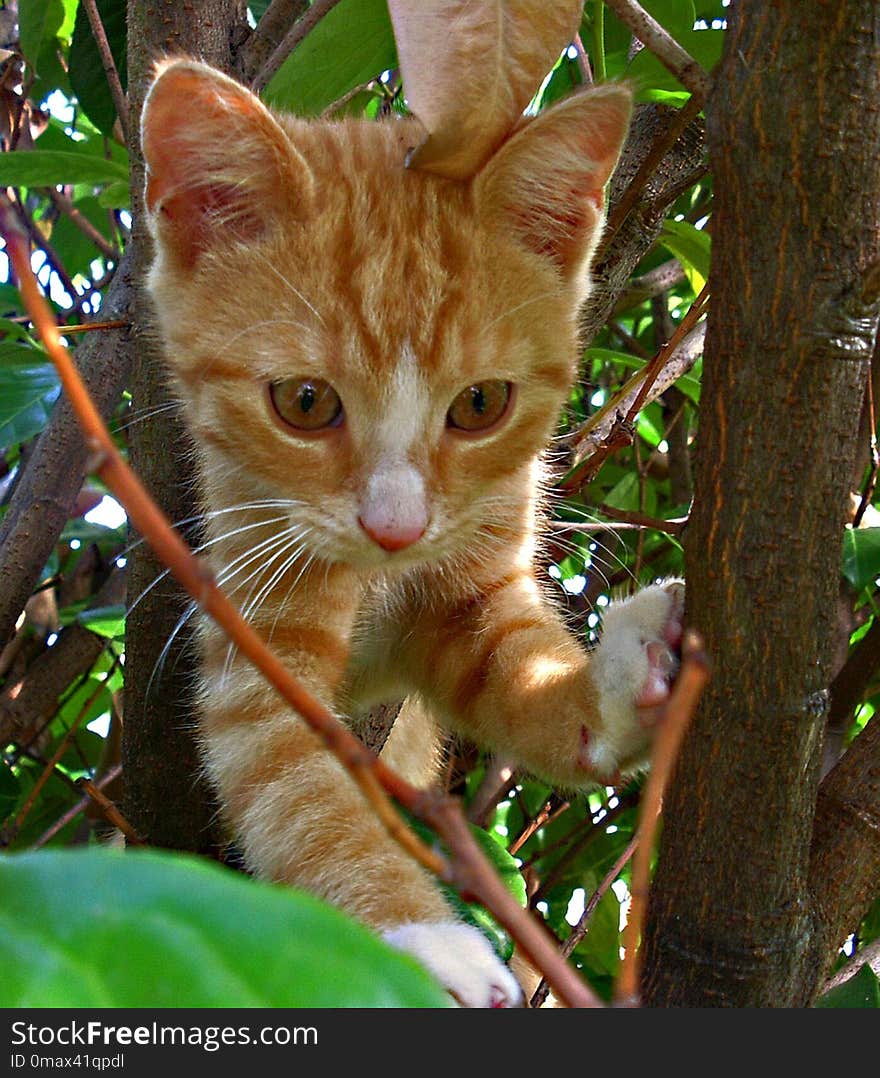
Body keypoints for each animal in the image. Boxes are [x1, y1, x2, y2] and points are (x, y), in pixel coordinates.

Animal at [141, 56, 685, 1000]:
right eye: (304, 402)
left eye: (481, 403)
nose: (395, 527)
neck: (382, 580)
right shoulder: (256, 607)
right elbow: (294, 783)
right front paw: (419, 939)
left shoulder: (479, 576)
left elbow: (519, 673)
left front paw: (613, 685)